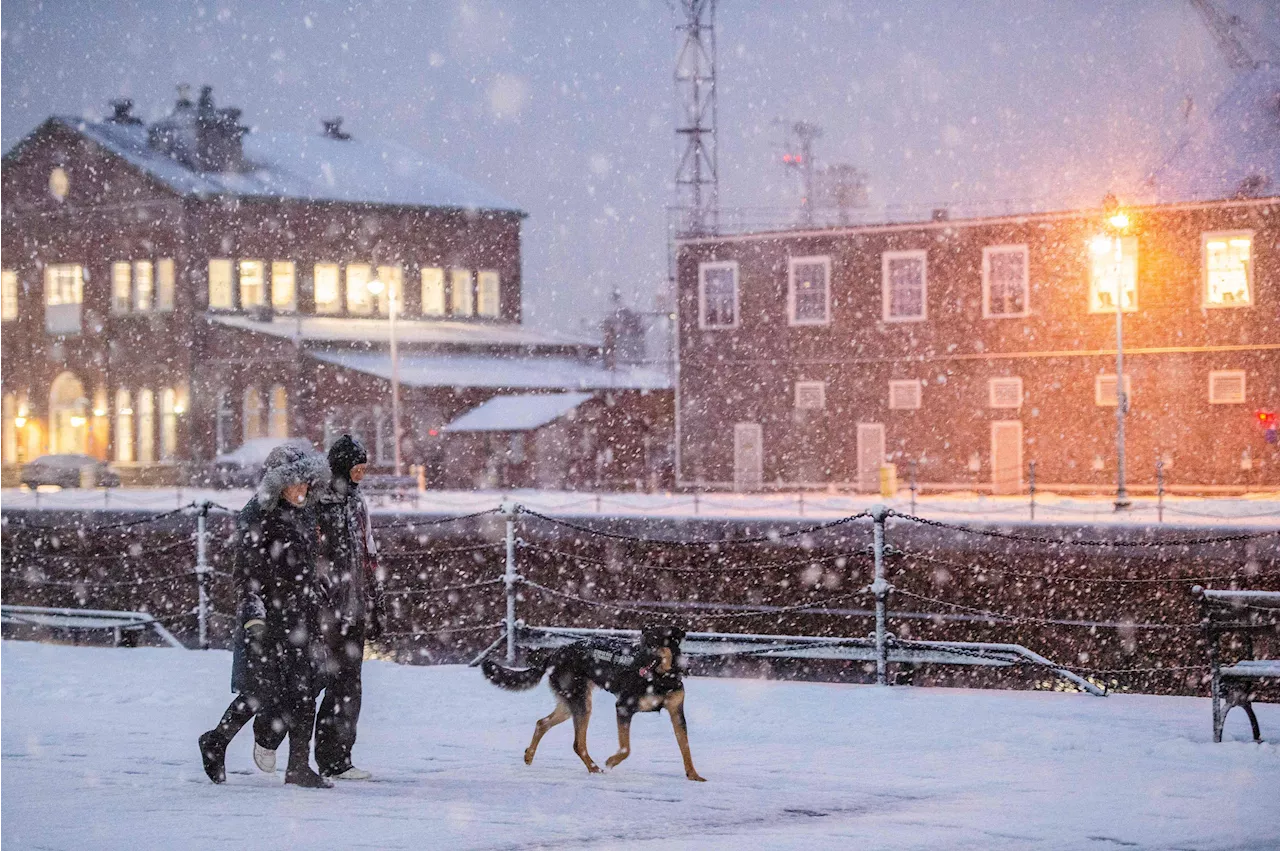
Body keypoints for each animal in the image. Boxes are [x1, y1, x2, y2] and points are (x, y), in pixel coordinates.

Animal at [481, 621, 706, 778]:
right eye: (642, 644)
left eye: (652, 644)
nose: (635, 660)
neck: (662, 678)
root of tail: (554, 654)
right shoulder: (623, 707)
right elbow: (626, 748)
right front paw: (610, 762)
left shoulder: (677, 713)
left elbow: (685, 747)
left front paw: (693, 775)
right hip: (581, 703)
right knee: (577, 744)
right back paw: (595, 768)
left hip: (569, 704)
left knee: (542, 723)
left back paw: (529, 755)